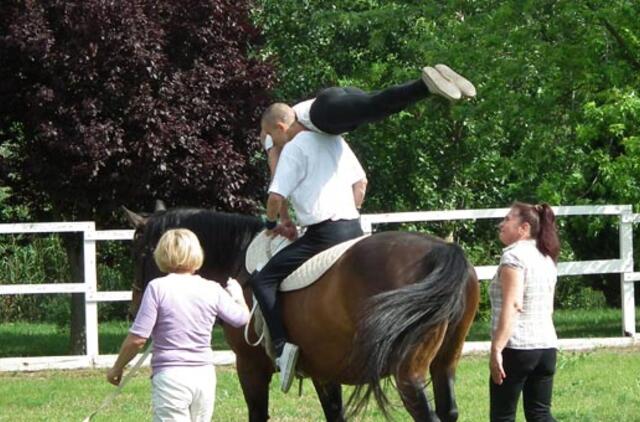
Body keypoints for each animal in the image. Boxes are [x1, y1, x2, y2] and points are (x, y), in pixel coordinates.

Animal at [124, 204, 480, 418]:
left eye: (140, 251)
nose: (136, 306)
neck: (238, 258)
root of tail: (443, 251)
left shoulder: (250, 366)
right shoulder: (324, 371)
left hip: (408, 374)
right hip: (444, 364)